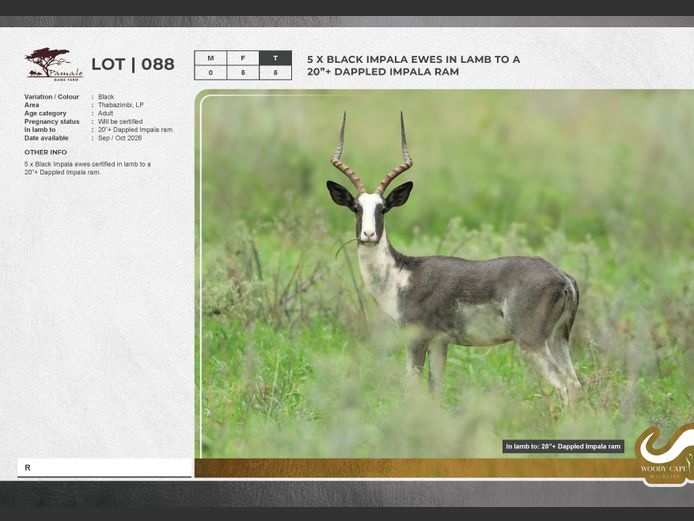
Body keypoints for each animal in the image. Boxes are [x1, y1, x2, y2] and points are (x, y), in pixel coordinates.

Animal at [326, 112, 582, 407]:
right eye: (356, 207)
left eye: (383, 208)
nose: (368, 234)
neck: (402, 275)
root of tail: (563, 278)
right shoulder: (440, 342)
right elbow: (435, 390)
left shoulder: (417, 338)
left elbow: (412, 388)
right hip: (559, 339)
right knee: (576, 383)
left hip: (532, 342)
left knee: (564, 385)